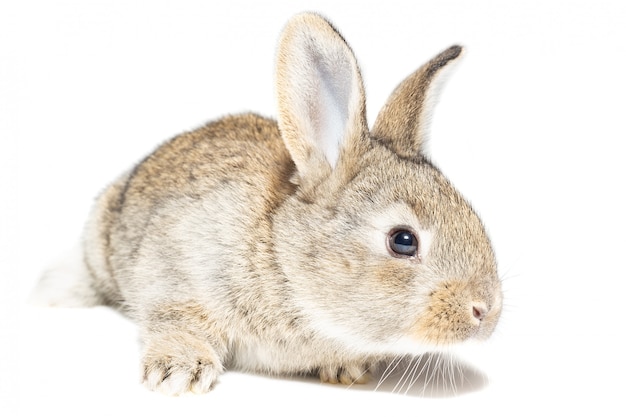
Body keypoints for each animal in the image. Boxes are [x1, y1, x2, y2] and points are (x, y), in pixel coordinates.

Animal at [33, 12, 502, 394]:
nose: (486, 311)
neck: (284, 259)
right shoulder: (175, 271)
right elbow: (175, 317)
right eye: (403, 240)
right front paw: (180, 371)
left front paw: (347, 370)